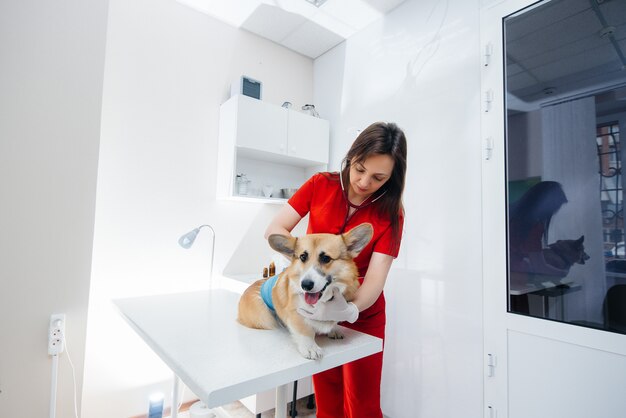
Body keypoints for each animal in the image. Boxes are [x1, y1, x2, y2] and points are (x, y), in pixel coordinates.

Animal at [234, 222, 370, 360]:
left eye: (326, 258)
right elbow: (305, 330)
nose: (305, 285)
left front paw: (334, 329)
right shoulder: (295, 312)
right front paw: (310, 348)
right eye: (303, 257)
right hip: (265, 319)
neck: (323, 302)